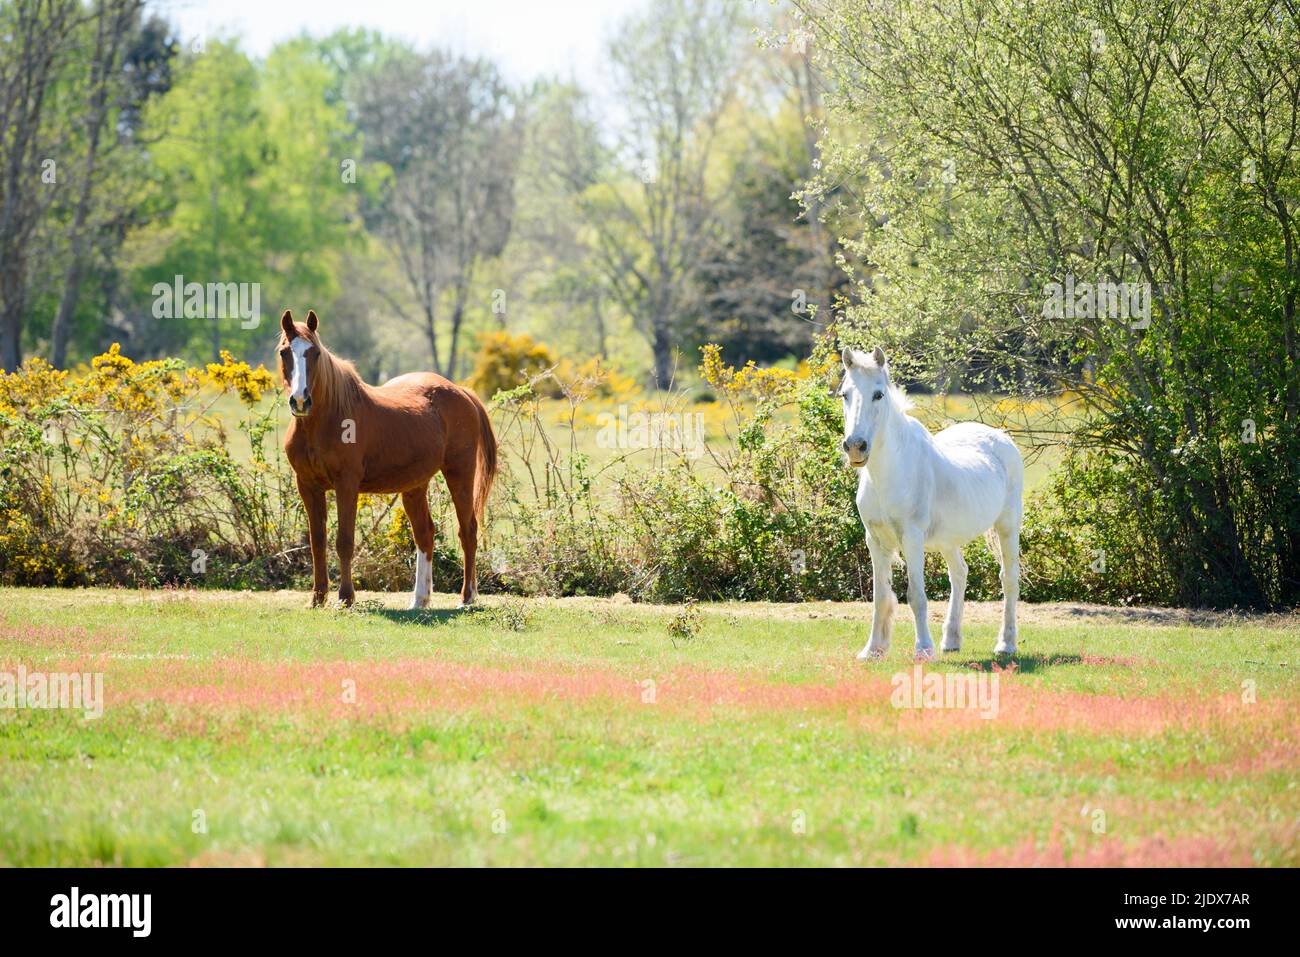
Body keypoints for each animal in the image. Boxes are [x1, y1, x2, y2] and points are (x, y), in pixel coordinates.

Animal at [277, 309, 498, 609]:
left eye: (316, 353)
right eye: (284, 352)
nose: (300, 400)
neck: (325, 420)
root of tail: (462, 392)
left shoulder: (346, 485)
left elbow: (344, 541)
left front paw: (345, 598)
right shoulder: (308, 486)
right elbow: (317, 541)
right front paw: (317, 598)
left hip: (460, 474)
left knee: (468, 531)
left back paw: (467, 597)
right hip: (415, 486)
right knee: (425, 534)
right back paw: (419, 600)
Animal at [838, 347, 1023, 660]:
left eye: (878, 394)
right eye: (844, 394)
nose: (855, 446)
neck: (890, 472)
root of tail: (1000, 437)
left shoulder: (911, 538)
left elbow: (916, 595)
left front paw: (923, 649)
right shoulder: (875, 540)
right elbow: (880, 597)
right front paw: (873, 650)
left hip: (1008, 527)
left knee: (1008, 578)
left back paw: (1006, 644)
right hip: (949, 541)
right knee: (959, 573)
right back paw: (951, 640)